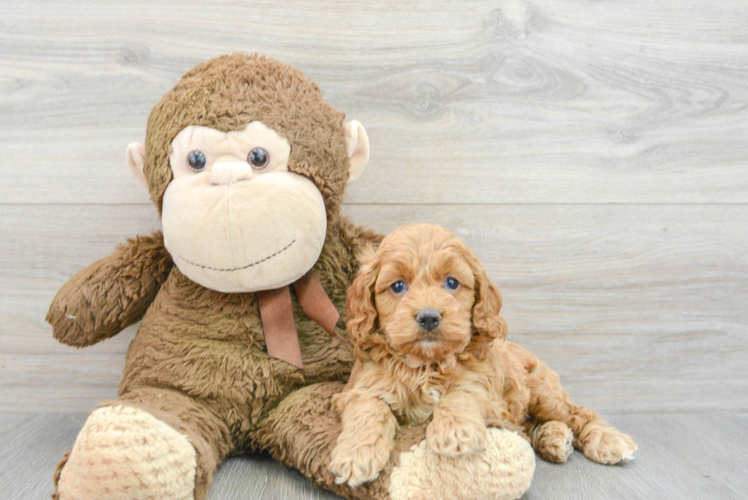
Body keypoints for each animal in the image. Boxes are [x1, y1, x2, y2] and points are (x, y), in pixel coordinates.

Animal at [330, 224, 636, 488]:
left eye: (452, 283)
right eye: (397, 286)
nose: (428, 317)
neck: (427, 364)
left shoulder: (485, 388)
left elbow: (460, 394)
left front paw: (455, 433)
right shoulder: (363, 386)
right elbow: (369, 409)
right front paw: (355, 455)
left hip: (543, 393)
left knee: (577, 413)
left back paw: (607, 440)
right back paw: (555, 438)